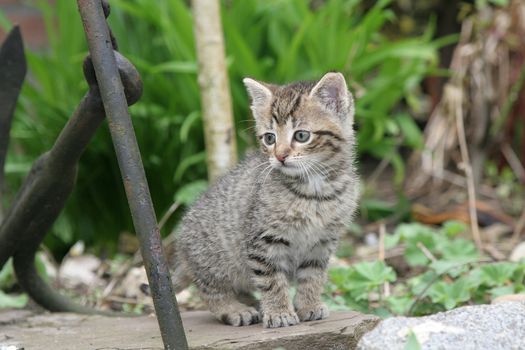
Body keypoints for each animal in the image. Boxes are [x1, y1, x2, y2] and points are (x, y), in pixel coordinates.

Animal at [170, 72, 358, 328]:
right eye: (270, 138)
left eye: (301, 135)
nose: (279, 156)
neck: (315, 192)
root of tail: (181, 247)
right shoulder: (263, 239)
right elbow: (271, 279)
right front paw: (279, 312)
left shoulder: (323, 241)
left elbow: (313, 276)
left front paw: (308, 305)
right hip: (214, 259)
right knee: (210, 290)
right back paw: (234, 309)